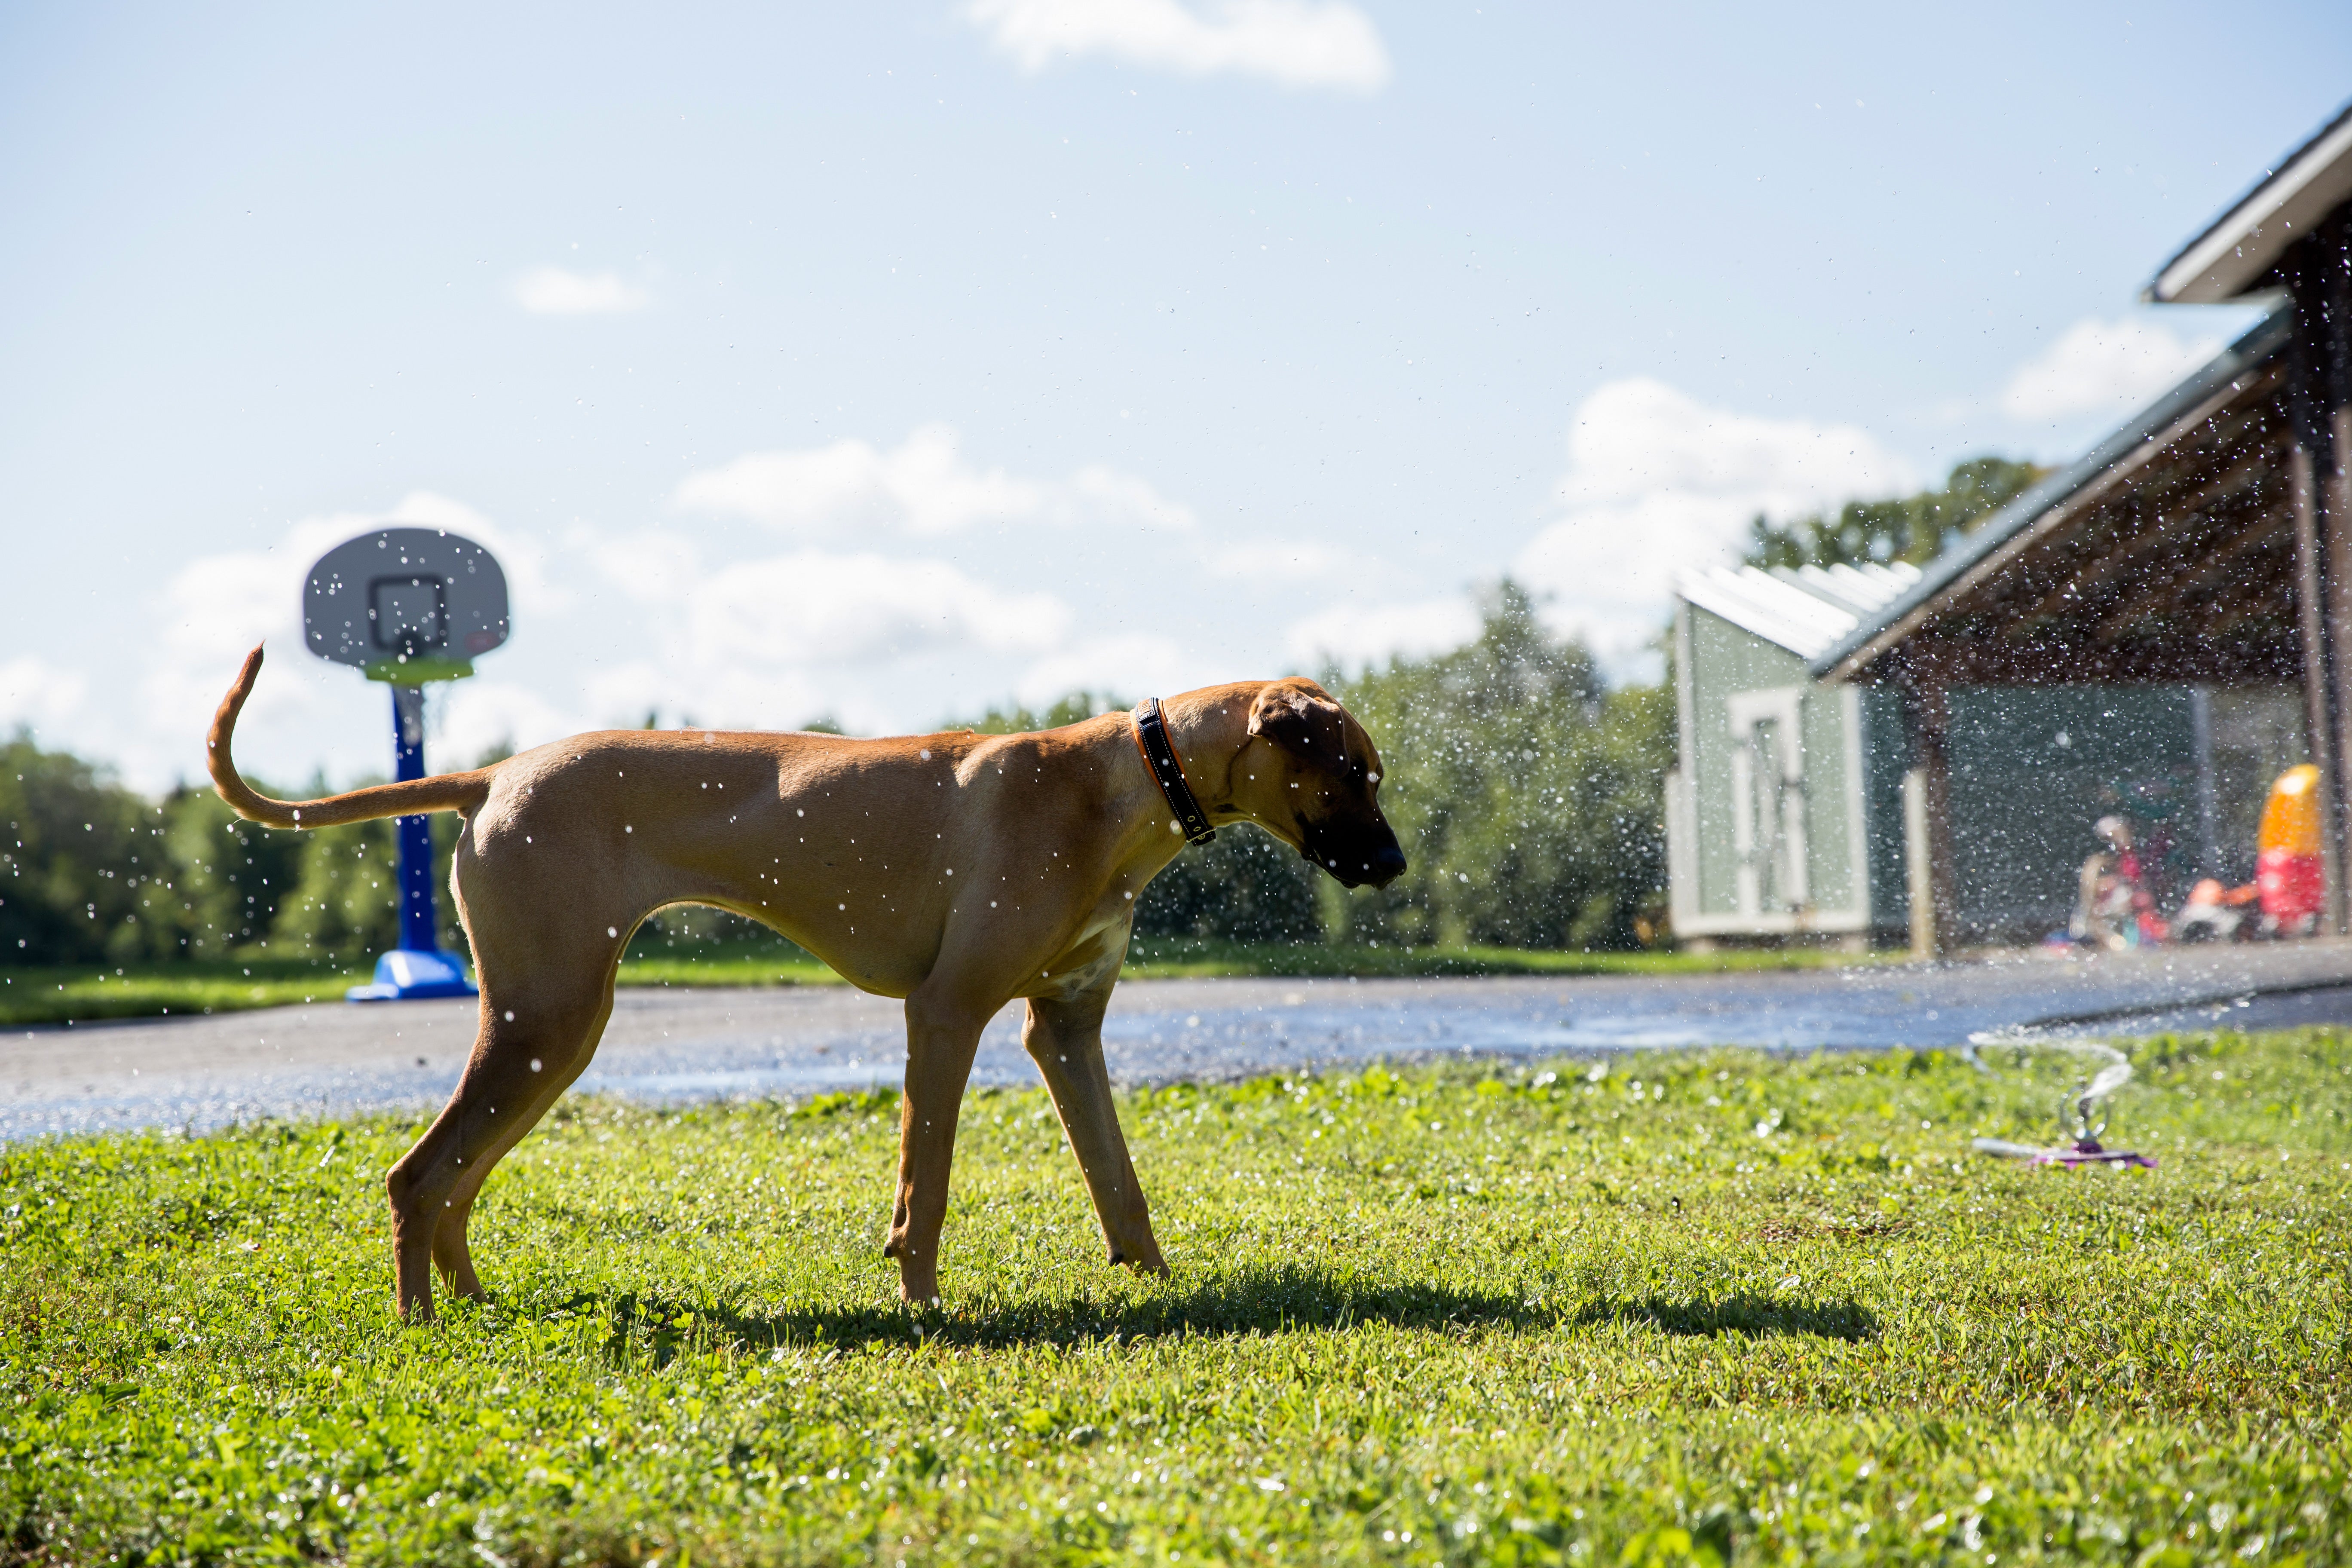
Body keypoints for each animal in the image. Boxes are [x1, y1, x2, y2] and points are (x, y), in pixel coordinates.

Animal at [207, 649, 1392, 1326]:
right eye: (1351, 773)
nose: (1394, 865)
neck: (1115, 781)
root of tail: (495, 774)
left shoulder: (1064, 1030)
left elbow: (1119, 1179)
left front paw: (1153, 1283)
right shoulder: (945, 1013)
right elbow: (927, 1185)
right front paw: (921, 1304)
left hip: (551, 1028)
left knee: (455, 1178)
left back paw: (472, 1302)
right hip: (545, 1016)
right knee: (418, 1176)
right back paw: (423, 1328)